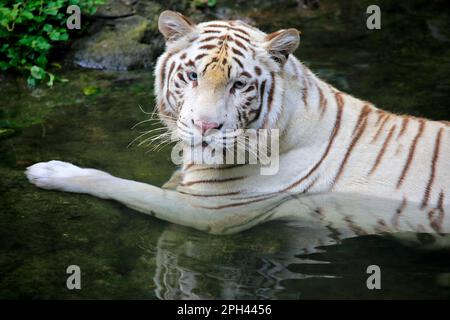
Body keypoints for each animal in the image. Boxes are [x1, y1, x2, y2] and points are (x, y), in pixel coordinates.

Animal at [26, 10, 448, 245]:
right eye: (192, 75)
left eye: (239, 84)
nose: (205, 126)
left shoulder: (208, 211)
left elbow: (124, 185)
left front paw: (50, 171)